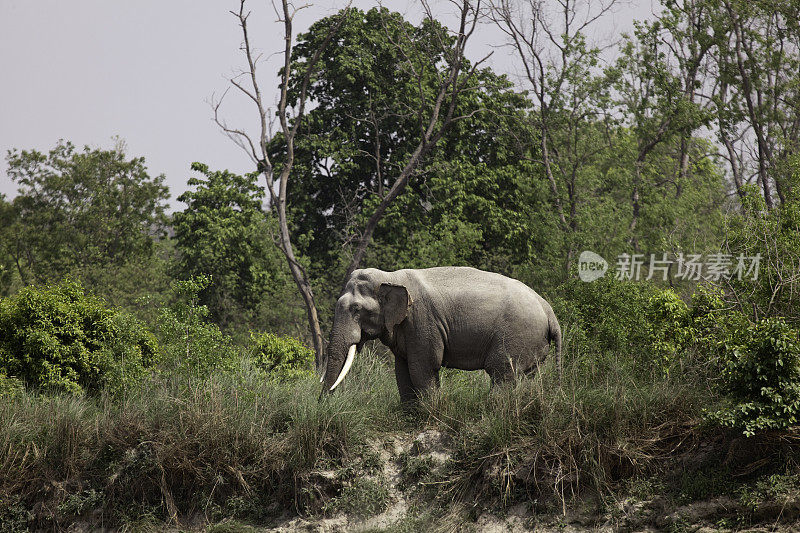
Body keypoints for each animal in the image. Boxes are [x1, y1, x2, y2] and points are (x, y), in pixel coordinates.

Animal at [318, 268, 564, 402]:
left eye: (356, 310)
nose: (323, 404)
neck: (390, 276)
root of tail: (549, 312)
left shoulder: (422, 321)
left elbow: (423, 368)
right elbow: (402, 371)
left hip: (515, 336)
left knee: (502, 372)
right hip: (531, 342)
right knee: (527, 377)